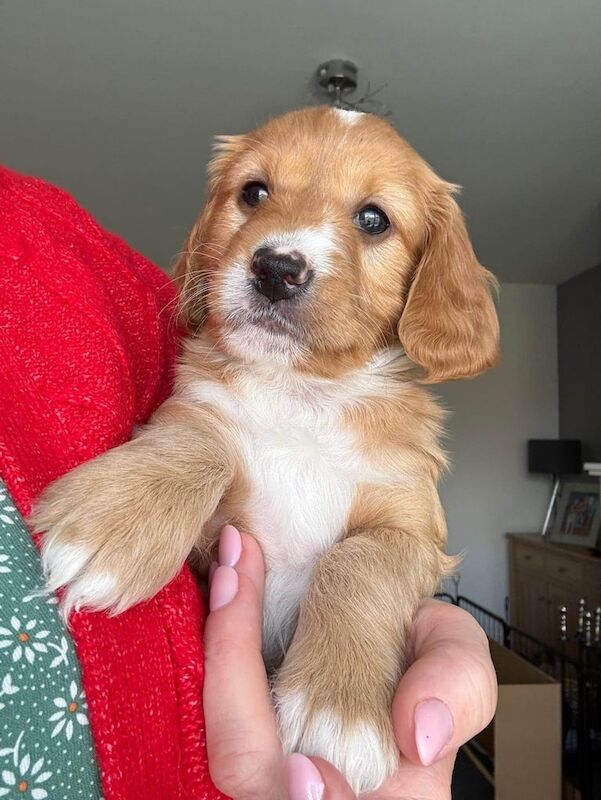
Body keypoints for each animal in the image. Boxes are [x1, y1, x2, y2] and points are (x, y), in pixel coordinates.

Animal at [35, 106, 500, 792]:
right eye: (254, 193)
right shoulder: (212, 519)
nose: (277, 268)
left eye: (373, 219)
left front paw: (337, 705)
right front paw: (112, 527)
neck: (300, 396)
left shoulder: (414, 531)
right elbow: (202, 438)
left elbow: (358, 559)